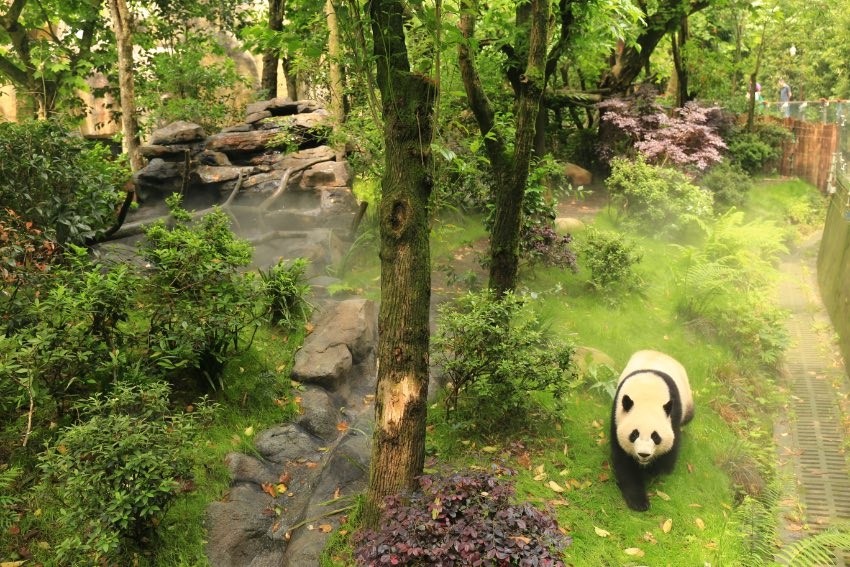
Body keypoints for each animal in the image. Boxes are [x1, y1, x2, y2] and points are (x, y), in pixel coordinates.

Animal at [612, 348, 692, 512]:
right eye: (634, 434)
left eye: (656, 436)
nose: (644, 454)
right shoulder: (617, 414)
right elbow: (624, 461)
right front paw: (639, 501)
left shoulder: (673, 414)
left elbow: (670, 453)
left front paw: (654, 470)